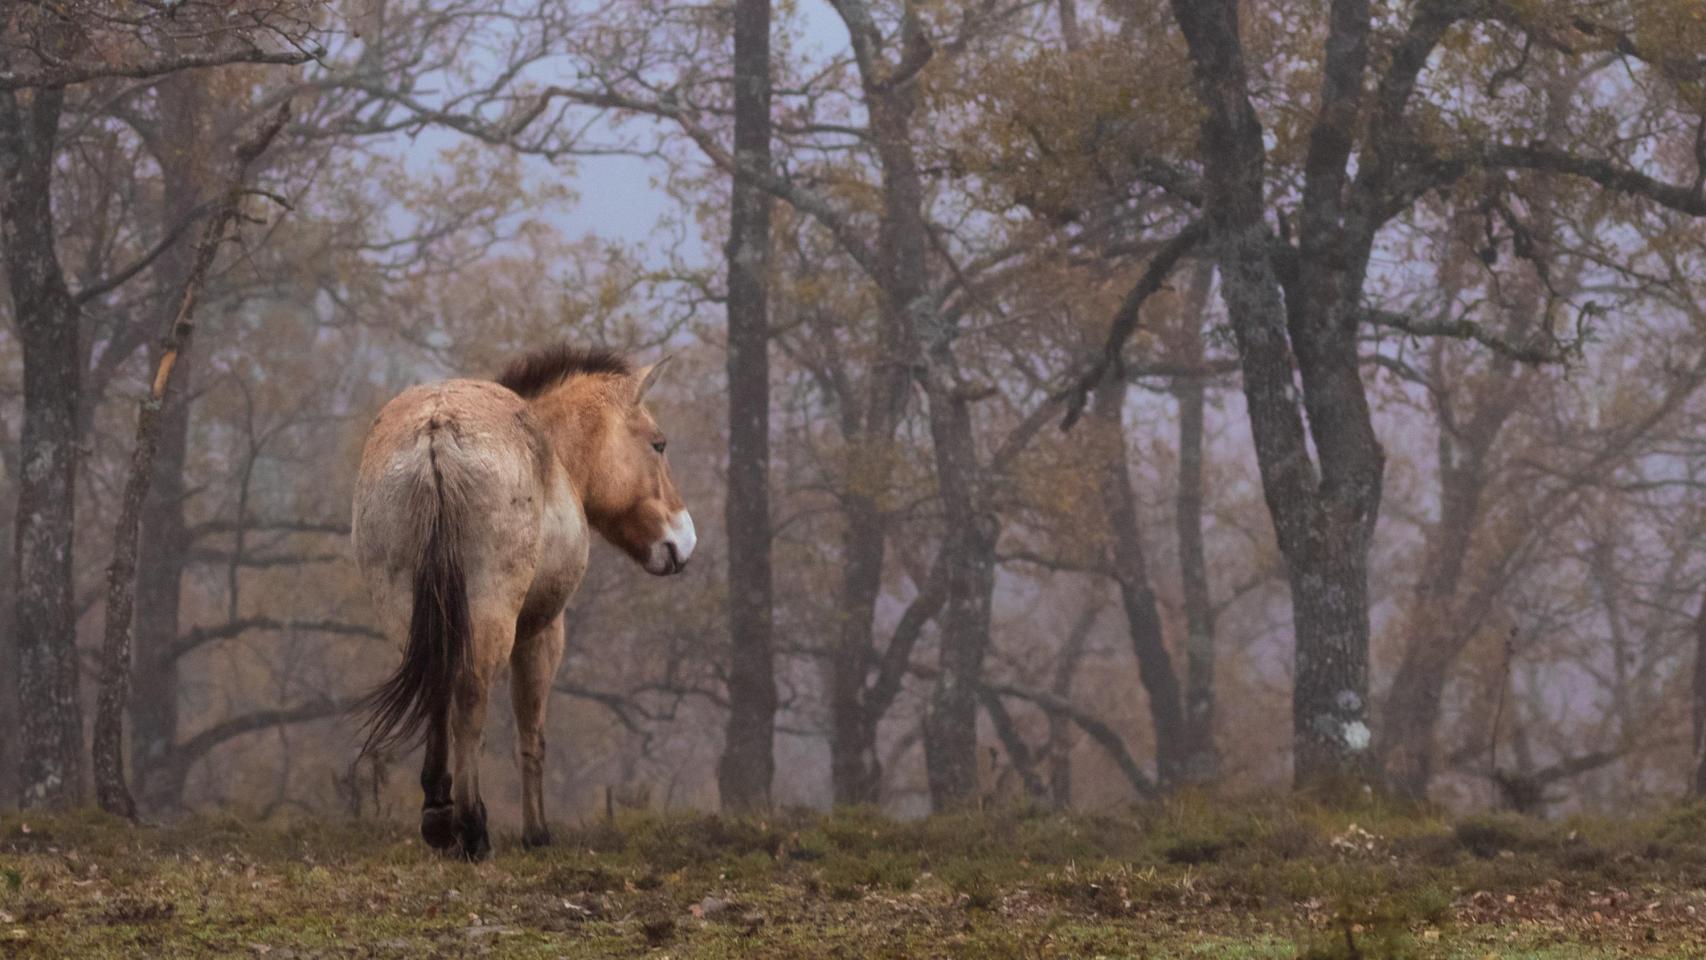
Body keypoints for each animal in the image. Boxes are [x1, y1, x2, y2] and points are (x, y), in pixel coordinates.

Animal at [349, 347, 696, 862]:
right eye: (658, 445)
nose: (682, 539)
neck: (556, 456)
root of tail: (435, 434)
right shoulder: (541, 632)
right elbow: (531, 734)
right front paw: (537, 833)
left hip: (408, 611)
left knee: (438, 690)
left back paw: (440, 819)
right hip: (491, 616)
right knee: (470, 696)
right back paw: (472, 829)